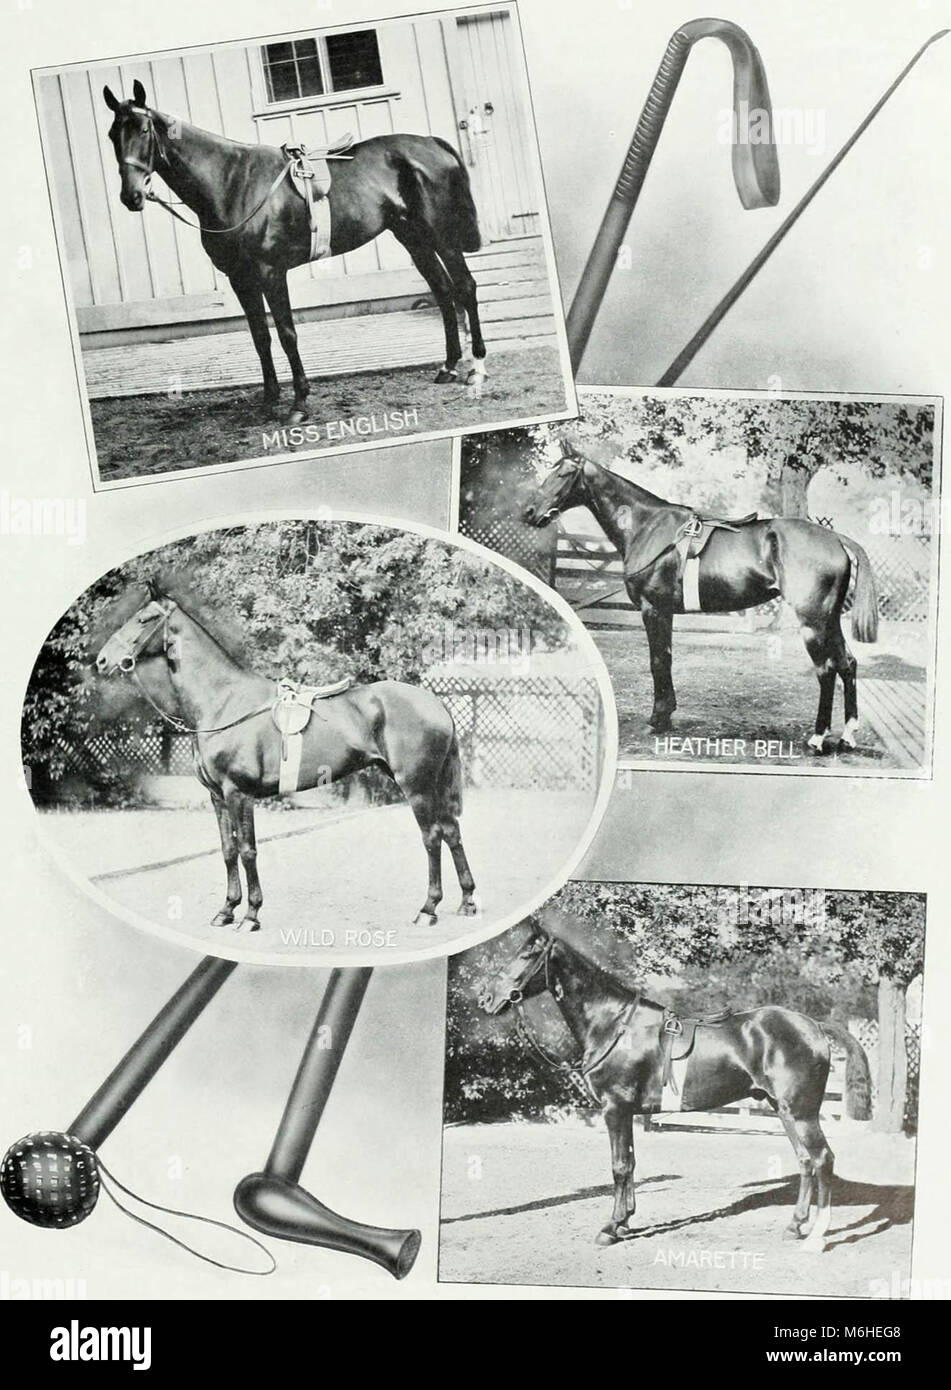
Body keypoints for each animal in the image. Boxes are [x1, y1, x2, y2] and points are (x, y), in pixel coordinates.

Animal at [94, 581, 475, 928]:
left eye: (144, 619)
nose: (101, 661)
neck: (223, 701)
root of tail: (436, 703)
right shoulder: (217, 796)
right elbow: (228, 850)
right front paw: (226, 911)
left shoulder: (238, 793)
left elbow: (248, 851)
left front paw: (251, 914)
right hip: (432, 784)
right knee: (452, 832)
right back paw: (467, 901)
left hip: (417, 786)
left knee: (432, 837)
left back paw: (428, 909)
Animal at [104, 79, 486, 417]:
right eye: (112, 135)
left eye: (143, 129)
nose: (131, 195)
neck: (232, 183)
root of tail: (431, 143)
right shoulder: (240, 278)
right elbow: (260, 336)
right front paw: (269, 400)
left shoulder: (271, 273)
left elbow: (287, 333)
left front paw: (299, 402)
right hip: (412, 236)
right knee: (443, 289)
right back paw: (448, 366)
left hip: (441, 234)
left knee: (465, 286)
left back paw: (476, 367)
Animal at [478, 928, 873, 1256]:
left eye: (528, 954)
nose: (486, 997)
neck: (615, 1025)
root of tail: (814, 1025)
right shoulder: (627, 1112)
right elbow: (631, 1163)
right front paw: (625, 1221)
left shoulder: (614, 1108)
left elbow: (619, 1166)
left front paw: (610, 1228)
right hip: (783, 1109)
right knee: (805, 1161)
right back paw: (794, 1226)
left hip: (802, 1113)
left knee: (823, 1160)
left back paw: (816, 1237)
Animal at [522, 447, 878, 750]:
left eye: (563, 473)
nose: (529, 512)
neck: (647, 527)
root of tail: (835, 538)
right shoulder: (664, 612)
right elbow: (665, 659)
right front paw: (665, 716)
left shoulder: (653, 609)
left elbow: (657, 661)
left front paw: (657, 719)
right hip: (830, 619)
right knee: (847, 664)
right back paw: (847, 736)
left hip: (813, 622)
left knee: (826, 670)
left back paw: (818, 738)